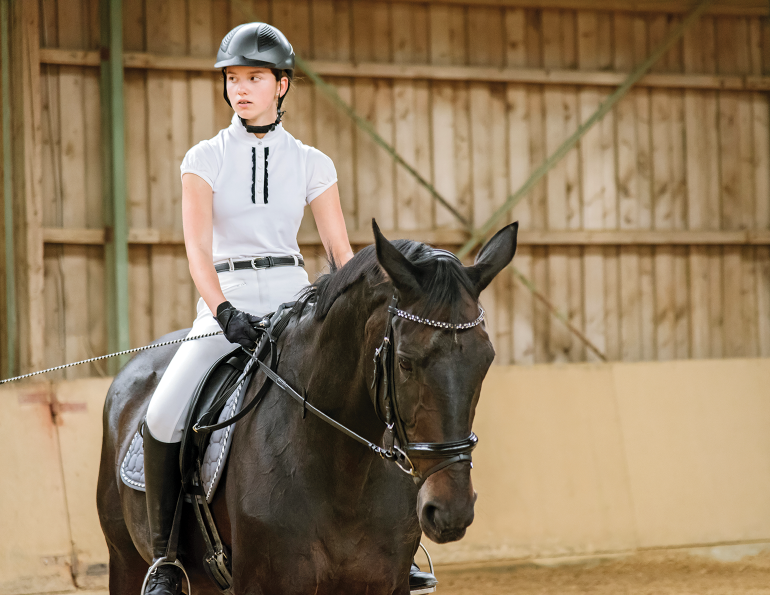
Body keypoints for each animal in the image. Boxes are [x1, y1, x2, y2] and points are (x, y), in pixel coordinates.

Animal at [97, 221, 518, 595]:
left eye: (486, 360)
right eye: (404, 362)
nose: (450, 510)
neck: (344, 474)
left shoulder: (385, 584)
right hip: (124, 559)